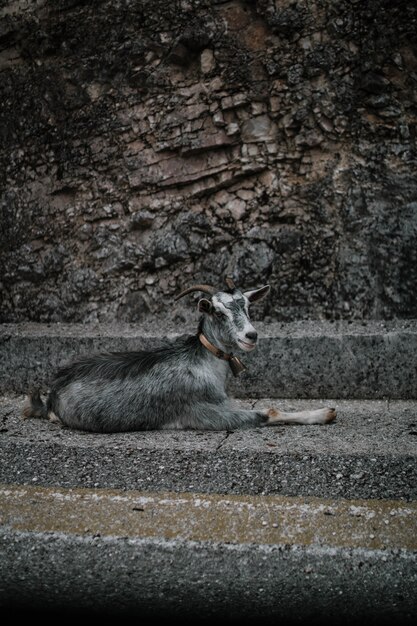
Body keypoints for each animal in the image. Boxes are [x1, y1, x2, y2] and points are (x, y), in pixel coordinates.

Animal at [22, 276, 334, 432]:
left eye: (247, 306)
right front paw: (324, 413)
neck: (204, 363)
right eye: (217, 312)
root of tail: (51, 395)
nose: (251, 336)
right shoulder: (203, 413)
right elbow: (267, 412)